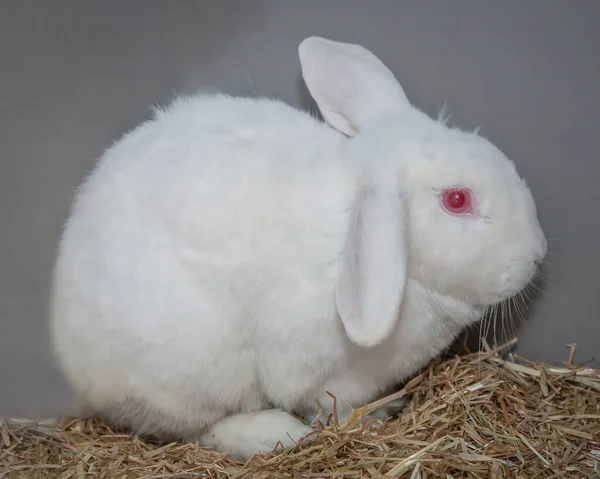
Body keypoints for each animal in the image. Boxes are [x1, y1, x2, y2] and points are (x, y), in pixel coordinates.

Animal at [50, 35, 548, 460]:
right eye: (457, 200)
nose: (538, 251)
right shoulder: (319, 374)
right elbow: (328, 405)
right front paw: (372, 419)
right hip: (192, 373)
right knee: (199, 428)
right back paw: (274, 433)